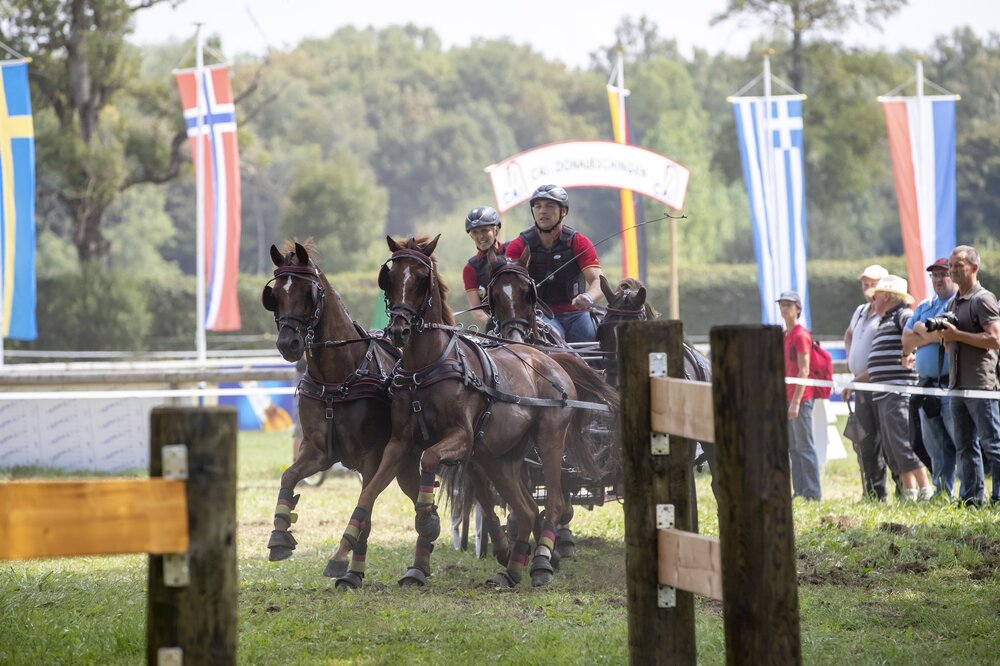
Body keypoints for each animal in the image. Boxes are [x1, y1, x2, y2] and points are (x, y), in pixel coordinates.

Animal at [261, 241, 421, 589]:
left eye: (308, 292)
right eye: (274, 294)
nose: (288, 343)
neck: (337, 379)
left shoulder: (372, 457)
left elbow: (366, 509)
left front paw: (349, 568)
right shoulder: (319, 452)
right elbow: (288, 476)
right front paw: (280, 536)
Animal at [326, 235, 611, 588]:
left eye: (421, 279)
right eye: (389, 278)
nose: (398, 330)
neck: (427, 366)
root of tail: (548, 358)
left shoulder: (461, 439)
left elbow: (428, 459)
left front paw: (427, 519)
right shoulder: (400, 443)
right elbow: (369, 493)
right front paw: (341, 558)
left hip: (549, 440)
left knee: (555, 502)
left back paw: (542, 562)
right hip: (499, 457)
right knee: (527, 509)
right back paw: (511, 570)